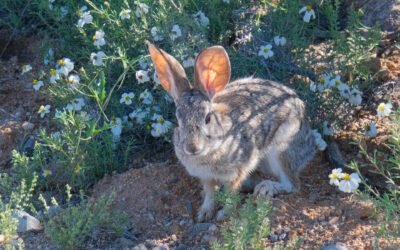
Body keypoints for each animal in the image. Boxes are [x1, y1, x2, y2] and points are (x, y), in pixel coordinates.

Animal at [146, 41, 316, 221]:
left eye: (207, 118)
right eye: (177, 121)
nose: (192, 148)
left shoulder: (236, 172)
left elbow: (230, 194)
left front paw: (223, 214)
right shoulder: (205, 176)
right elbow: (209, 192)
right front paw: (204, 213)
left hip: (281, 150)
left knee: (292, 184)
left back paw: (266, 188)